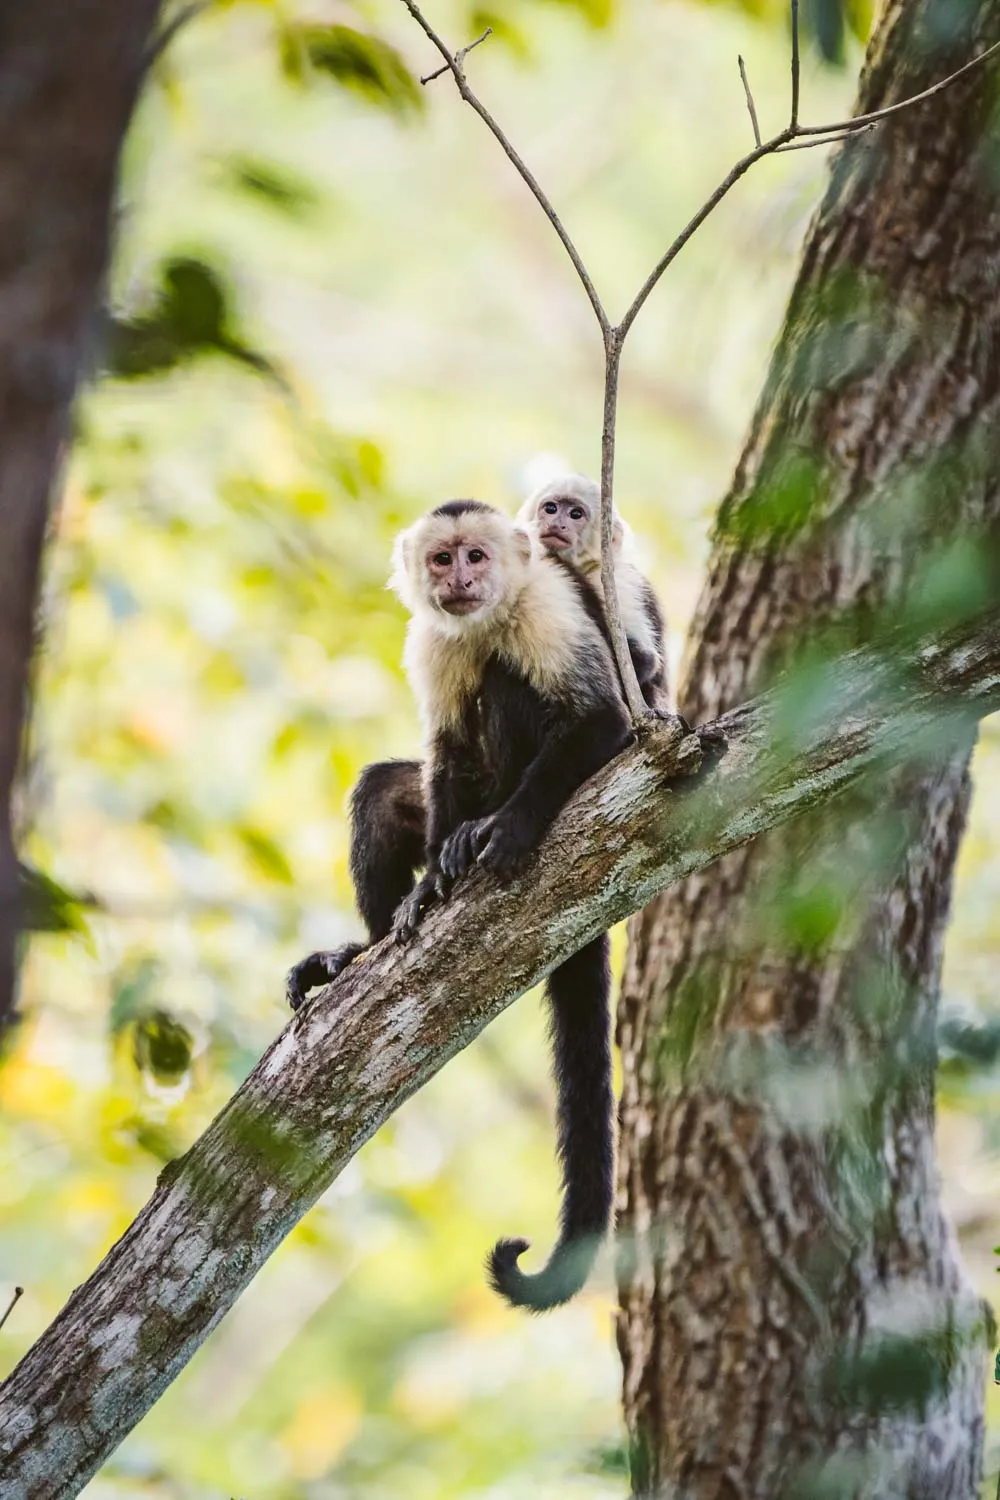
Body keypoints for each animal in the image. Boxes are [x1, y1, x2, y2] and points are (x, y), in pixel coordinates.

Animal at [287, 499, 632, 1311]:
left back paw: (491, 824)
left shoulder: (548, 607)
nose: (461, 580)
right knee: (385, 793)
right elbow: (441, 749)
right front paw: (422, 889)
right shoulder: (430, 641)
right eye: (442, 559)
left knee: (510, 688)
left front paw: (511, 826)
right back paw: (364, 948)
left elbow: (603, 719)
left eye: (477, 555)